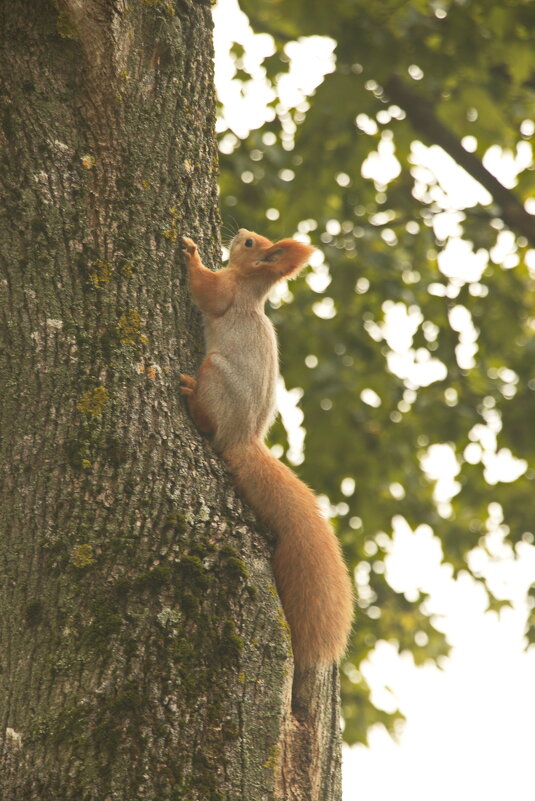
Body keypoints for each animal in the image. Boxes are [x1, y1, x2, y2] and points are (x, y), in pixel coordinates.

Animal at [182, 228, 354, 664]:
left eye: (249, 245)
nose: (241, 232)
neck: (253, 287)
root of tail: (242, 439)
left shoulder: (227, 292)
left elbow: (208, 293)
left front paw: (191, 254)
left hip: (215, 374)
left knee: (207, 418)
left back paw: (190, 394)